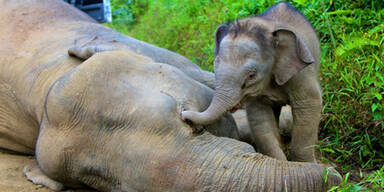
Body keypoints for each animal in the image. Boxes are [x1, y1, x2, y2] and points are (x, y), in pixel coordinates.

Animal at [183, 2, 320, 163]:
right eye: (214, 67)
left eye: (251, 75)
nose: (183, 114)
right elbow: (259, 116)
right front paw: (280, 162)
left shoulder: (301, 74)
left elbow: (308, 105)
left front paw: (306, 164)